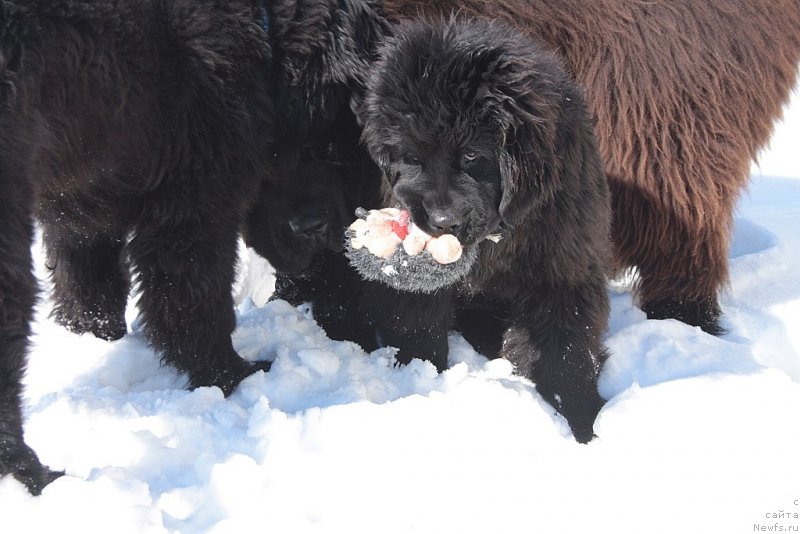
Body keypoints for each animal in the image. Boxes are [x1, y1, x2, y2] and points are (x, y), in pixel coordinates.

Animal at [1, 0, 276, 494]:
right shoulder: (196, 192)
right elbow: (195, 301)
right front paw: (231, 375)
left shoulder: (82, 196)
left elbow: (86, 282)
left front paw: (95, 336)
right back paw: (36, 476)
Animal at [356, 17, 612, 444]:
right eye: (411, 157)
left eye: (472, 155)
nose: (442, 221)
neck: (498, 237)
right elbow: (418, 323)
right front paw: (420, 377)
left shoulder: (565, 265)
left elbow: (567, 350)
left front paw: (584, 421)